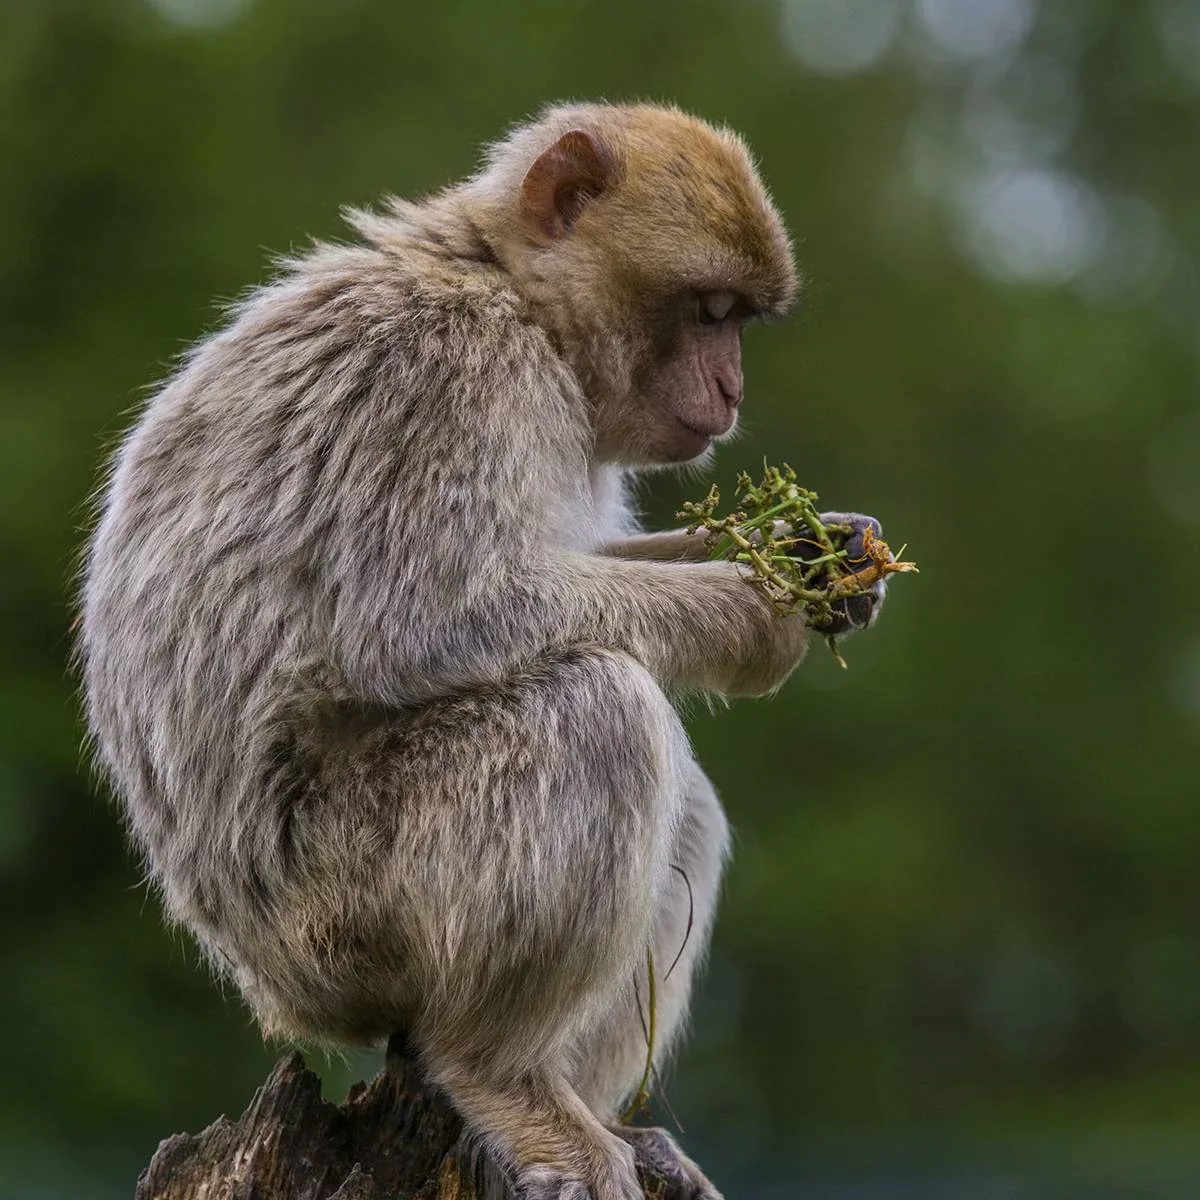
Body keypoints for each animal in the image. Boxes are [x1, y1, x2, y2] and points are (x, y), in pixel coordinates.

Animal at [77, 105, 883, 1200]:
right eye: (710, 312)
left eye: (739, 323)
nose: (731, 388)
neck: (511, 294)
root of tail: (267, 987)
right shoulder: (445, 373)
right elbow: (428, 620)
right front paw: (759, 610)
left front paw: (820, 550)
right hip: (340, 909)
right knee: (596, 709)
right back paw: (502, 1073)